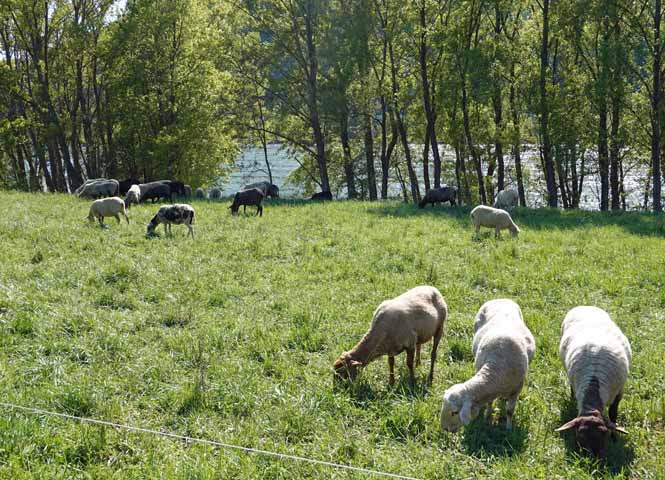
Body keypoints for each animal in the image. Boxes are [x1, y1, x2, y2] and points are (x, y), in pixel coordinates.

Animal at [440, 299, 535, 432]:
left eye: (454, 412)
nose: (445, 428)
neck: (498, 369)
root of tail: (501, 298)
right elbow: (490, 402)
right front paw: (487, 416)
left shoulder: (517, 389)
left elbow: (509, 410)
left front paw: (509, 429)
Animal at [556, 306, 631, 458]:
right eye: (580, 436)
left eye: (605, 434)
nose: (593, 459)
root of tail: (584, 306)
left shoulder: (619, 392)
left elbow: (613, 415)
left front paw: (615, 437)